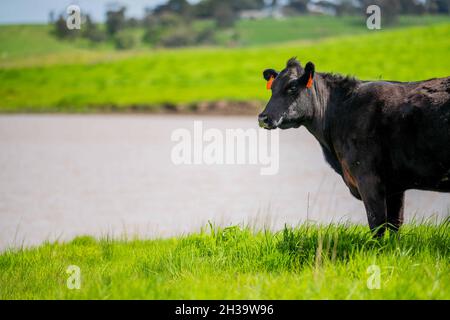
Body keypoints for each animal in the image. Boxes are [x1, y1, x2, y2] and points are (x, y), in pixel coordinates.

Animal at [258, 57, 450, 235]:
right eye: (272, 88)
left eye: (292, 87)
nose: (263, 117)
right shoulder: (395, 185)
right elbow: (395, 224)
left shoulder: (368, 179)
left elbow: (377, 225)